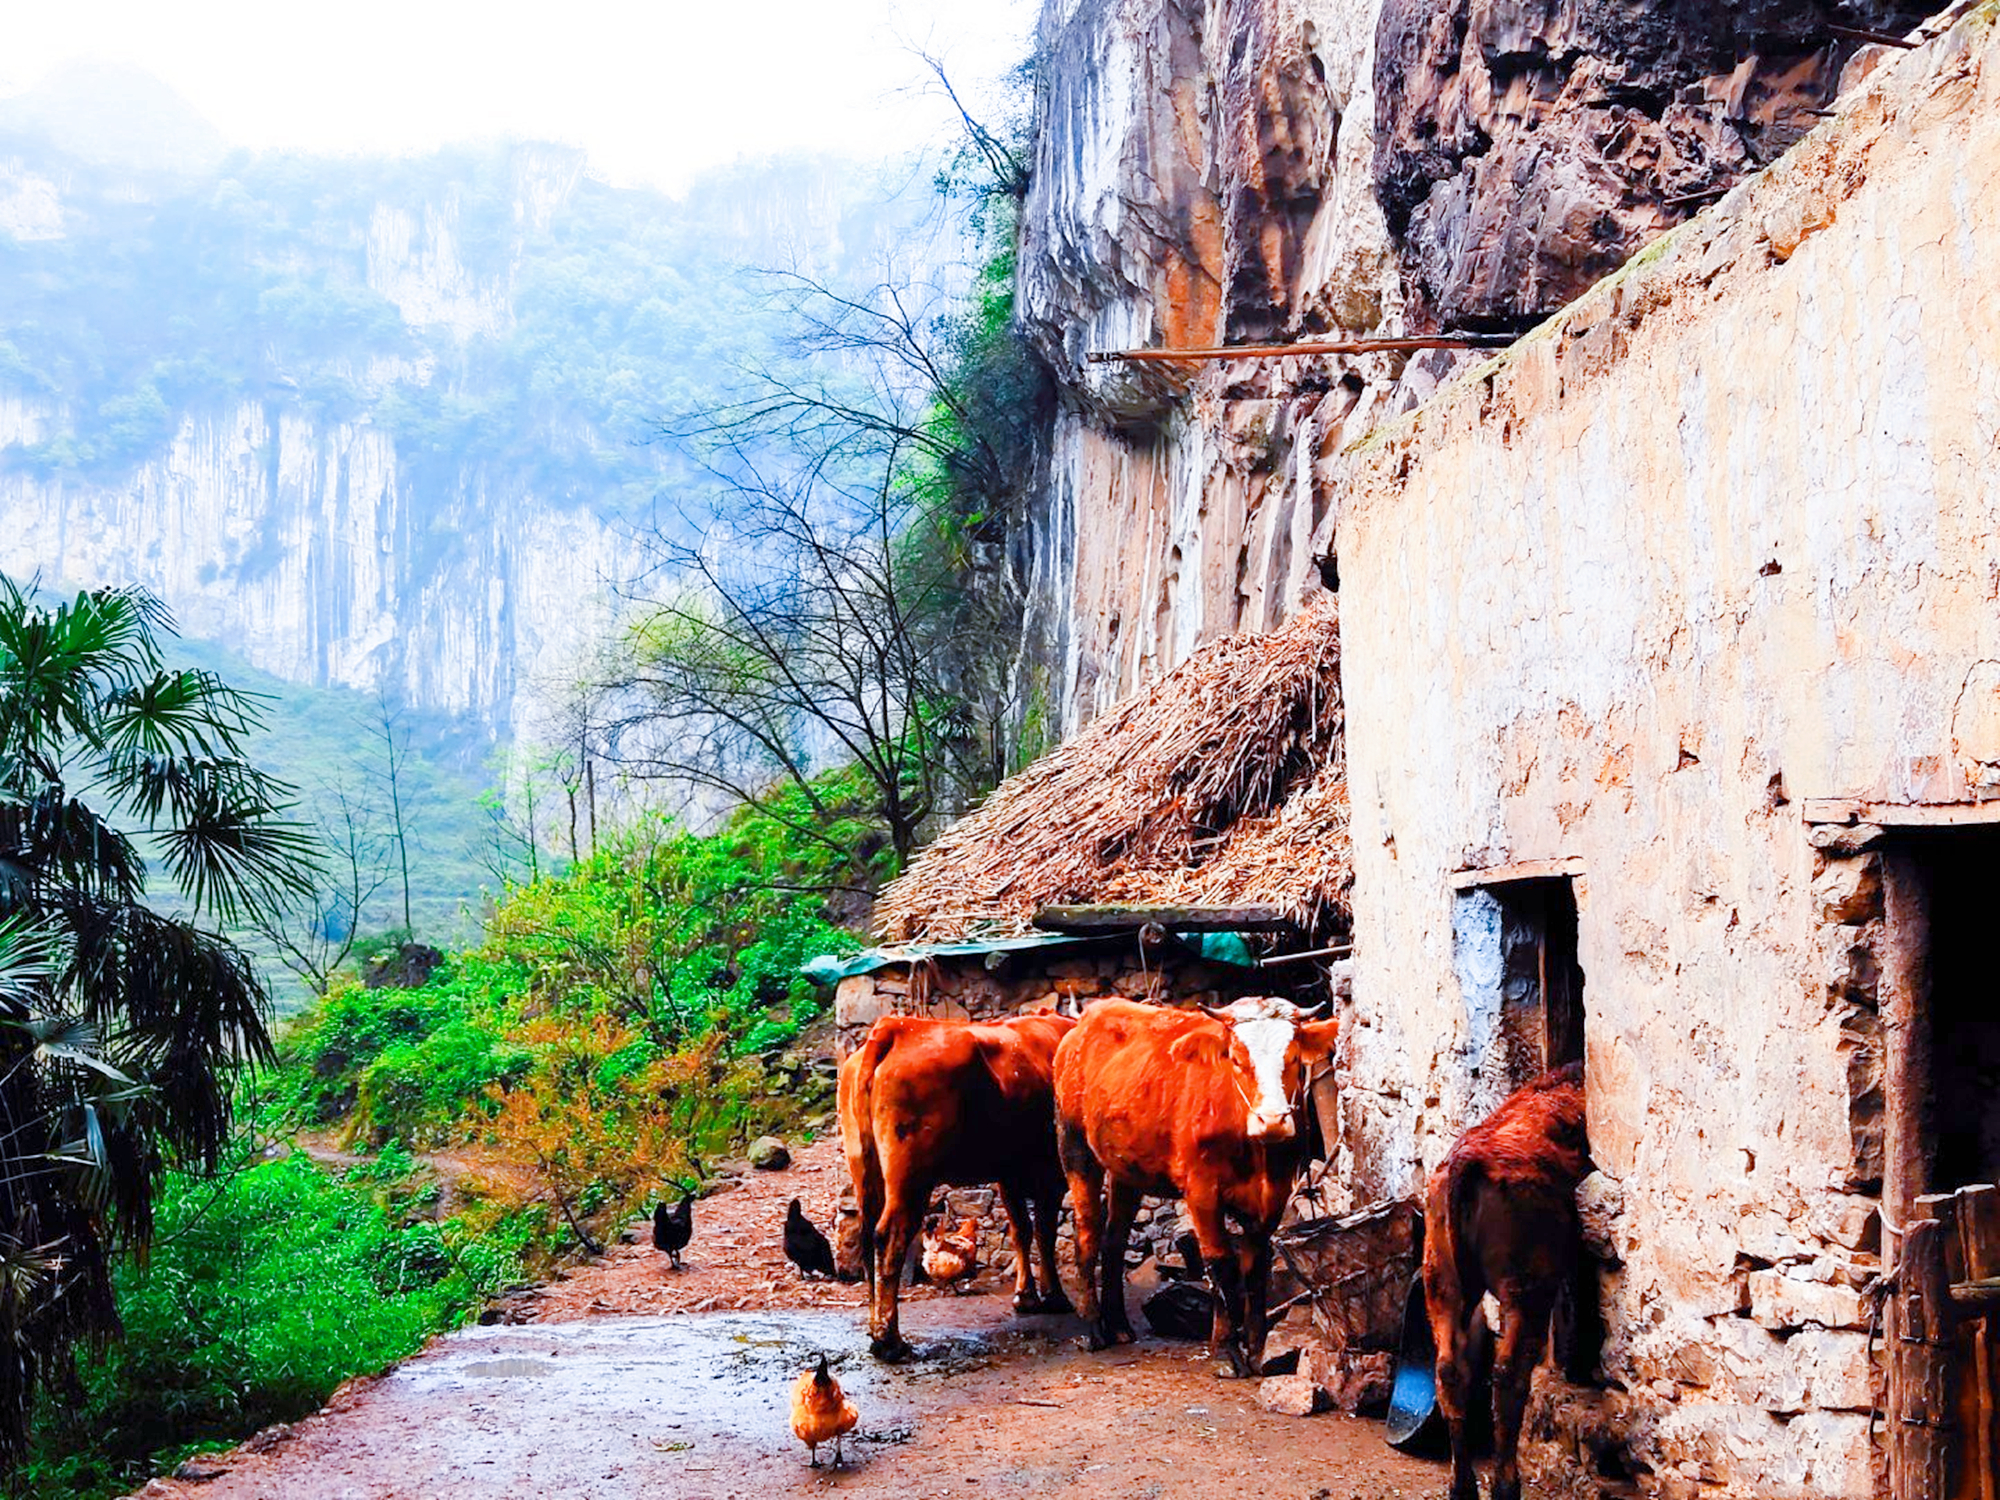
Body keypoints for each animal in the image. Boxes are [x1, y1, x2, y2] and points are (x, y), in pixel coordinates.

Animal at [836, 1012, 1080, 1360]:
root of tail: (897, 1025)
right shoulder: (1052, 1170)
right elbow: (1044, 1233)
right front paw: (1055, 1296)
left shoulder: (1008, 1173)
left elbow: (1020, 1230)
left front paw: (1026, 1297)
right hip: (911, 1176)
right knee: (889, 1236)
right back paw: (890, 1341)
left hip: (865, 1171)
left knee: (868, 1236)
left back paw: (875, 1330)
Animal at [1424, 1064, 1592, 1500]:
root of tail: (1467, 1161)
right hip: (1526, 1291)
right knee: (1508, 1373)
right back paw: (1505, 1484)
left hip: (1442, 1284)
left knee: (1449, 1369)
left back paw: (1462, 1486)